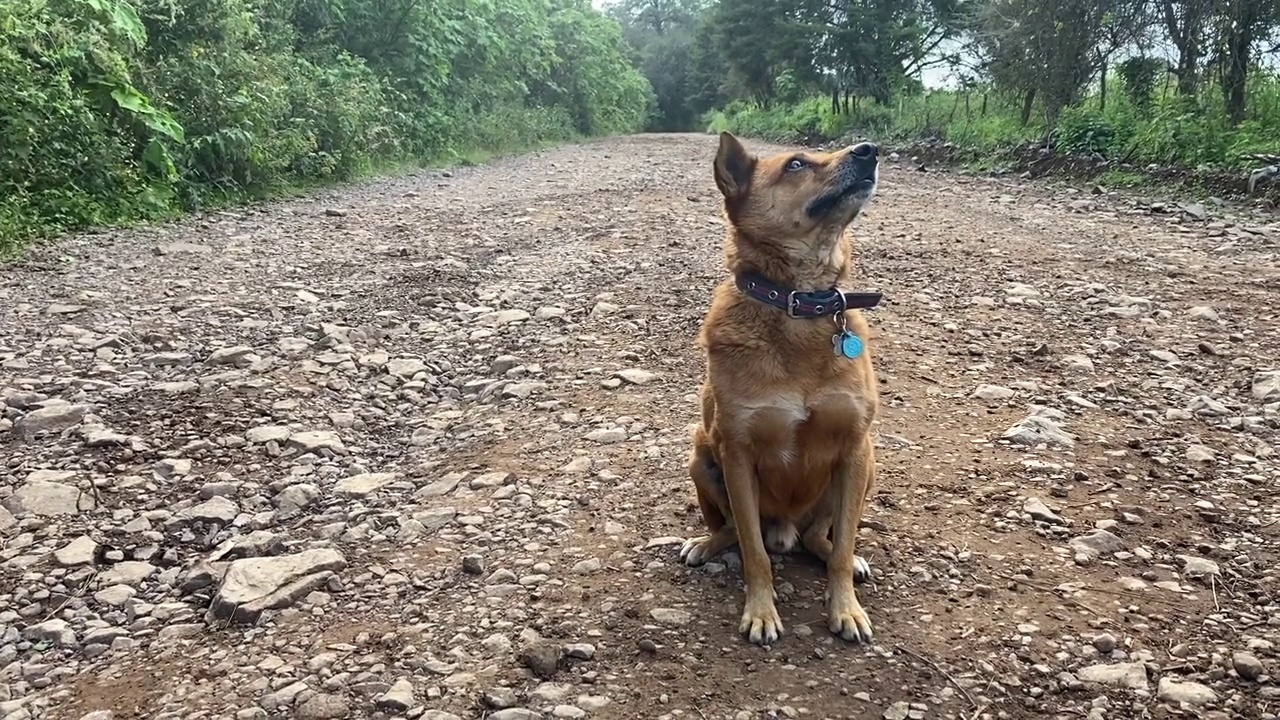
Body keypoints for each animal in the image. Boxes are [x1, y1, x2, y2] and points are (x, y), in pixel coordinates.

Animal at [680, 131, 880, 640]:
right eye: (795, 164)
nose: (870, 150)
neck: (798, 304)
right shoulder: (737, 454)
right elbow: (754, 553)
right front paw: (760, 611)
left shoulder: (855, 446)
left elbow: (843, 546)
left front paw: (845, 607)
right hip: (701, 458)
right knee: (734, 530)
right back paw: (705, 543)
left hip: (867, 468)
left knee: (819, 536)